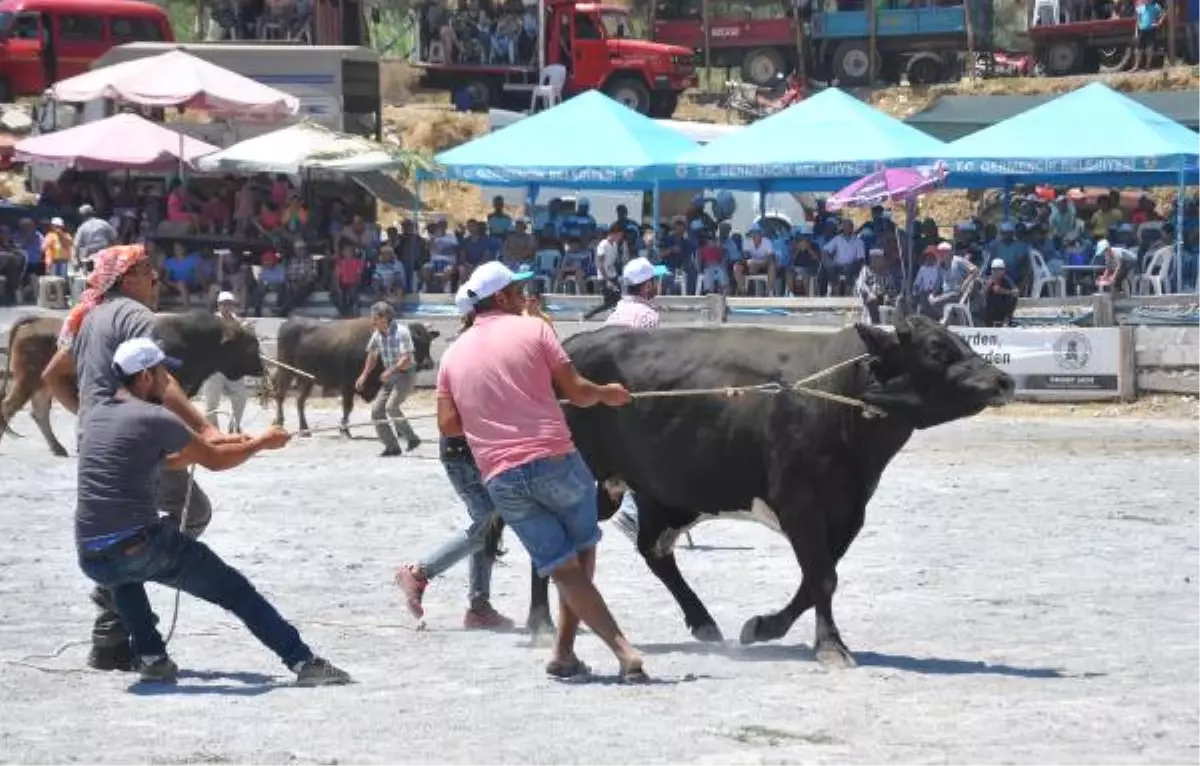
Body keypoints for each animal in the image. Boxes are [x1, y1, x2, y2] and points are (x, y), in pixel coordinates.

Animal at [513, 316, 1012, 667]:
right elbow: (822, 578)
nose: (1003, 380)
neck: (837, 394)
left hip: (655, 493)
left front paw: (763, 628)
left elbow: (818, 578)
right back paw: (541, 623)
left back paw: (703, 621)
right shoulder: (800, 503)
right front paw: (830, 646)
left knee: (652, 550)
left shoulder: (848, 511)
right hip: (583, 480)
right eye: (936, 349)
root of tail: (568, 347)